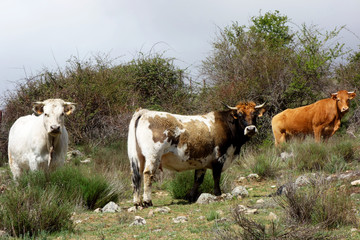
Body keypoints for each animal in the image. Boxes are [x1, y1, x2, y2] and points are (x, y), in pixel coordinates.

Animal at [128, 101, 266, 206]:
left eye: (254, 114)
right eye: (240, 114)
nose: (251, 129)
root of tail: (145, 111)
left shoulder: (202, 162)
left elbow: (198, 180)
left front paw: (191, 197)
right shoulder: (219, 158)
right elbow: (216, 177)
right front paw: (218, 194)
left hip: (136, 157)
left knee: (136, 176)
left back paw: (137, 202)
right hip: (153, 156)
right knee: (147, 174)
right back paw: (147, 201)